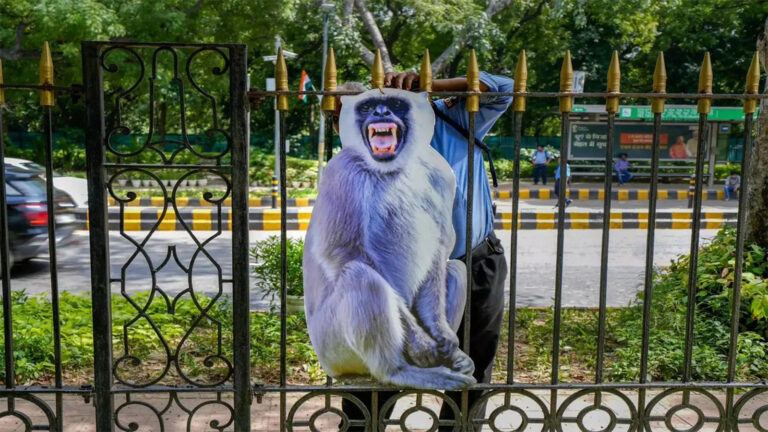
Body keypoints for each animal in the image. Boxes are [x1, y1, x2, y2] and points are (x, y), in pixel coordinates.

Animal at [303, 88, 475, 390]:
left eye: (395, 103)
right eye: (368, 106)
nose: (381, 112)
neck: (390, 169)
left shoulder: (440, 174)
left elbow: (441, 248)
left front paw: (442, 335)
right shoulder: (342, 170)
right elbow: (342, 253)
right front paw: (422, 345)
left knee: (455, 268)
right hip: (332, 345)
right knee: (361, 276)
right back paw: (398, 370)